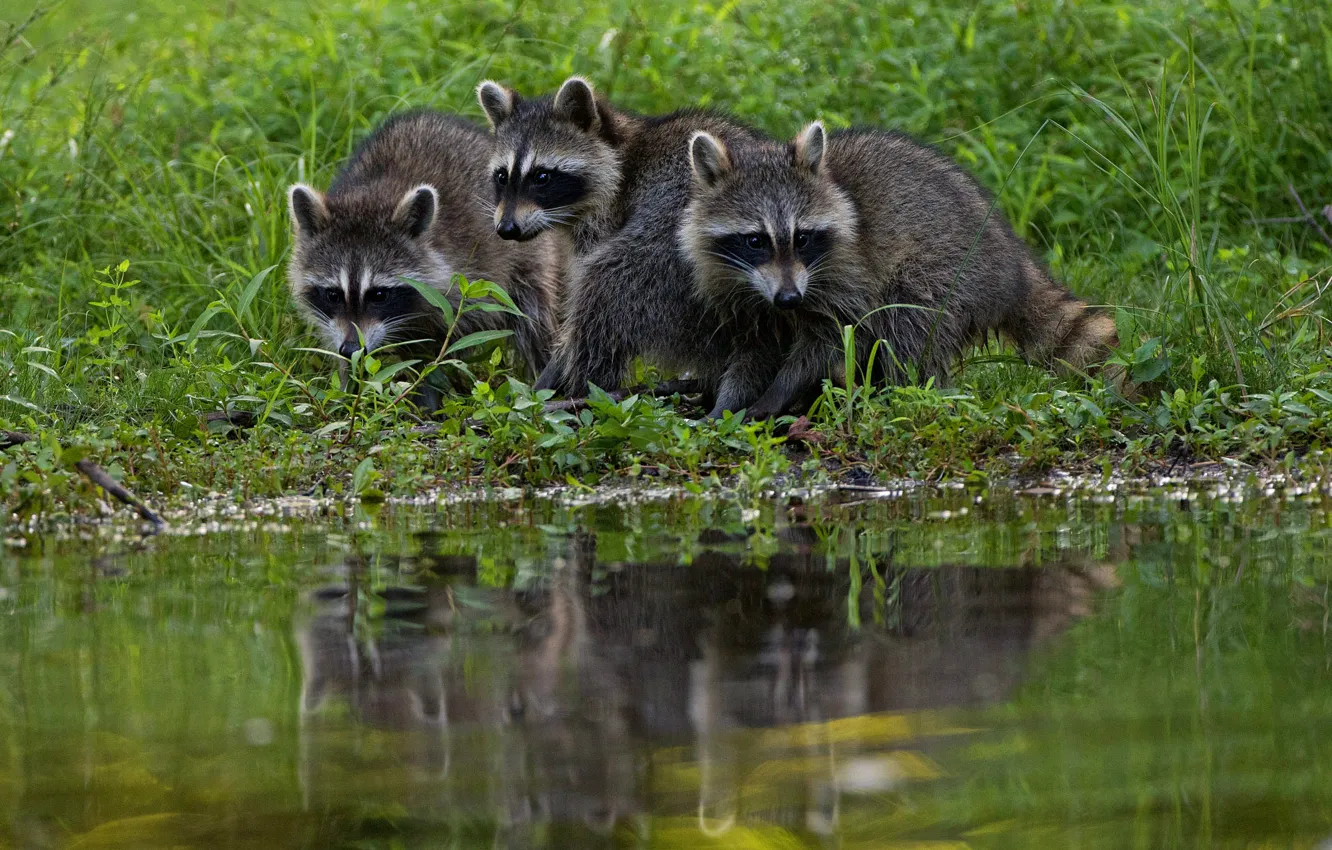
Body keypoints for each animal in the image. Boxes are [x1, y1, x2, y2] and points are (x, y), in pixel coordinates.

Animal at [285, 110, 564, 390]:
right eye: (332, 294)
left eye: (379, 294)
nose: (352, 348)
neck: (372, 196)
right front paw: (347, 388)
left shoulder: (467, 277)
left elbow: (437, 352)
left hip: (528, 255)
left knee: (534, 315)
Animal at [475, 77, 765, 400]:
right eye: (502, 176)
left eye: (542, 177)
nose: (506, 229)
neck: (621, 153)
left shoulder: (608, 217)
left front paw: (559, 363)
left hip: (666, 256)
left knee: (606, 288)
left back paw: (585, 387)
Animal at [680, 122, 1120, 419]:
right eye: (755, 240)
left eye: (802, 237)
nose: (789, 299)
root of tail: (1013, 263)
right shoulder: (734, 289)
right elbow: (751, 349)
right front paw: (727, 404)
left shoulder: (847, 275)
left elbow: (830, 340)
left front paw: (776, 392)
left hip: (948, 271)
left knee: (906, 322)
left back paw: (896, 395)